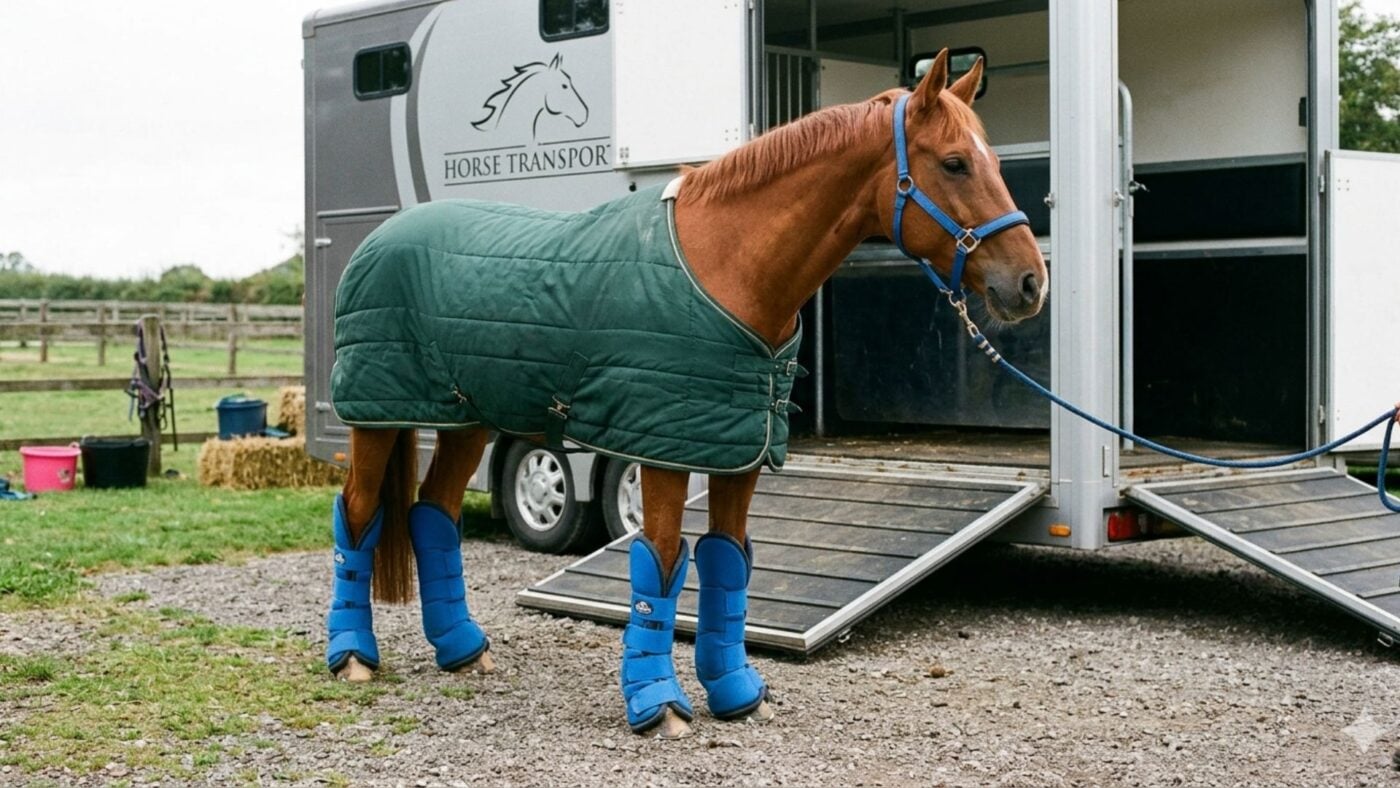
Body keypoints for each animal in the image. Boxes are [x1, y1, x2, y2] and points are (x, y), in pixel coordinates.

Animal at [324, 50, 1046, 740]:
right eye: (954, 163)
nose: (1029, 282)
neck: (728, 267)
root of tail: (377, 240)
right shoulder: (664, 446)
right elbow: (663, 563)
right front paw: (657, 703)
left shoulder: (738, 451)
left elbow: (728, 565)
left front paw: (737, 695)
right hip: (377, 417)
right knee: (359, 513)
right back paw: (353, 655)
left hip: (465, 418)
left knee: (433, 515)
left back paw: (462, 650)